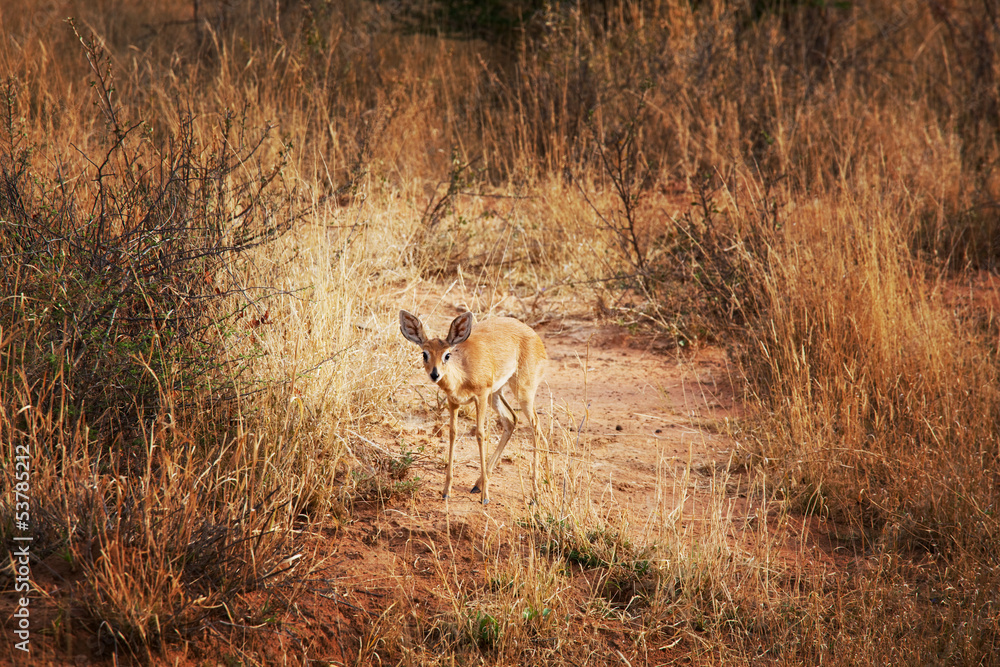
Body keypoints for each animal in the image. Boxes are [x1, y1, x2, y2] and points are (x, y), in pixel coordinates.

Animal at [399, 310, 547, 504]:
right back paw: (478, 484)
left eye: (447, 355)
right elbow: (452, 434)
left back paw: (534, 495)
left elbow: (480, 434)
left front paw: (486, 497)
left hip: (522, 392)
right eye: (424, 354)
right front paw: (446, 491)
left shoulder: (481, 396)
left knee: (535, 426)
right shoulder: (453, 402)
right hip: (496, 394)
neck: (462, 373)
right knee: (511, 420)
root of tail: (534, 335)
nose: (435, 374)